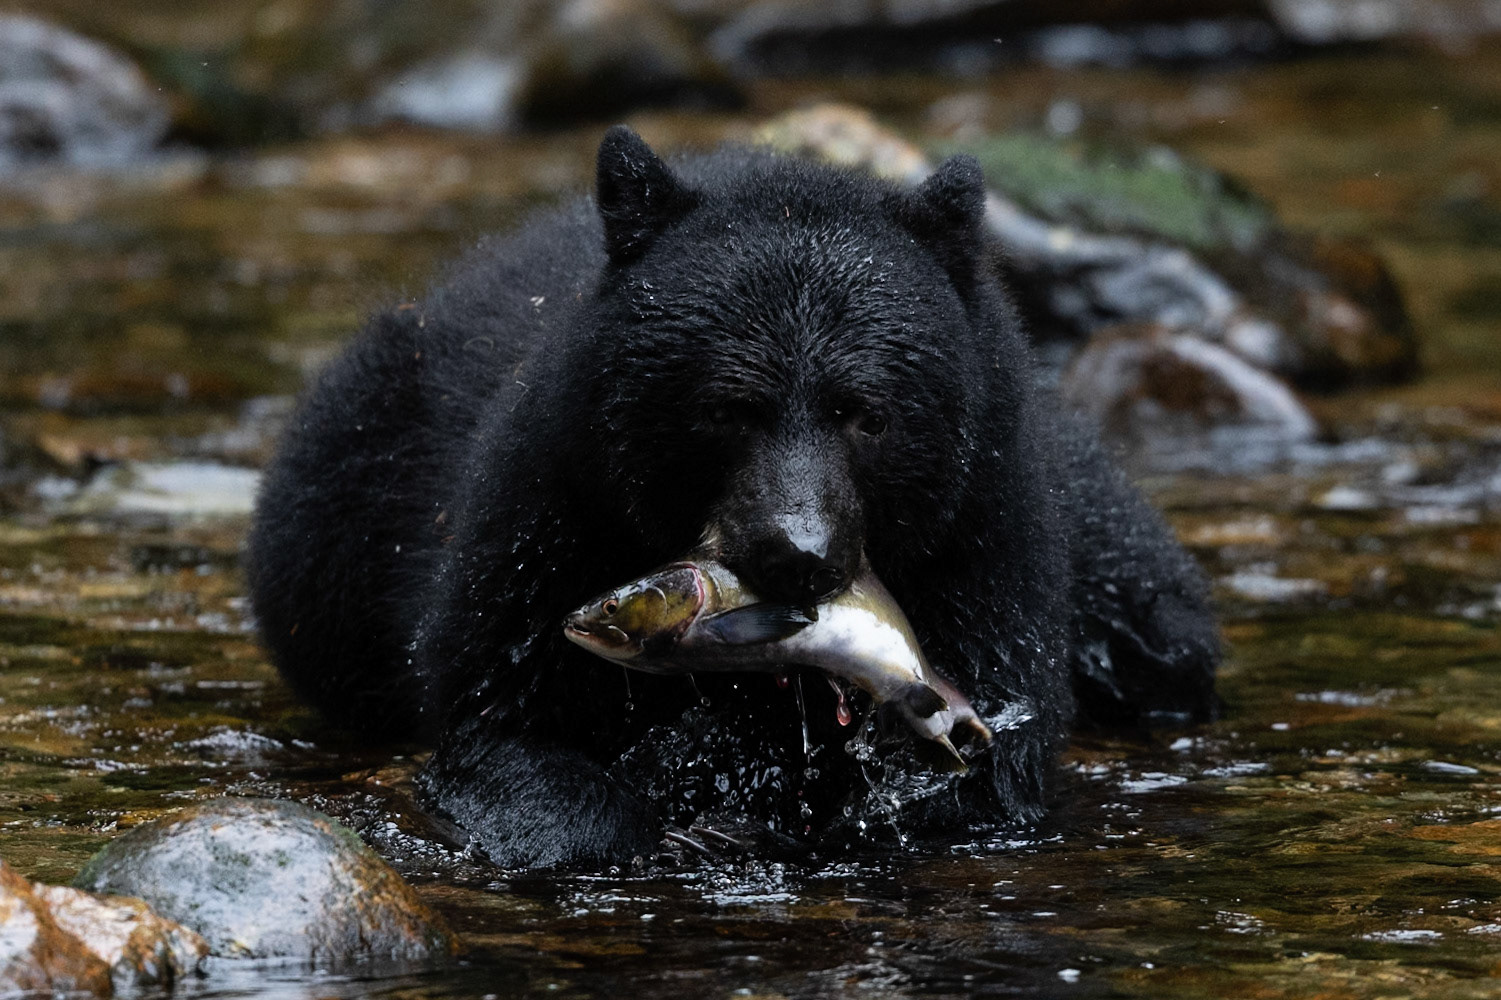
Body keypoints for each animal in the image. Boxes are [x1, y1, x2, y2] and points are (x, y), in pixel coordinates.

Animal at [245, 126, 1219, 869]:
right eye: (726, 409)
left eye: (865, 414)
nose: (798, 554)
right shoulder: (551, 504)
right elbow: (499, 719)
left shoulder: (983, 521)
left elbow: (987, 772)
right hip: (338, 513)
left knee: (1161, 627)